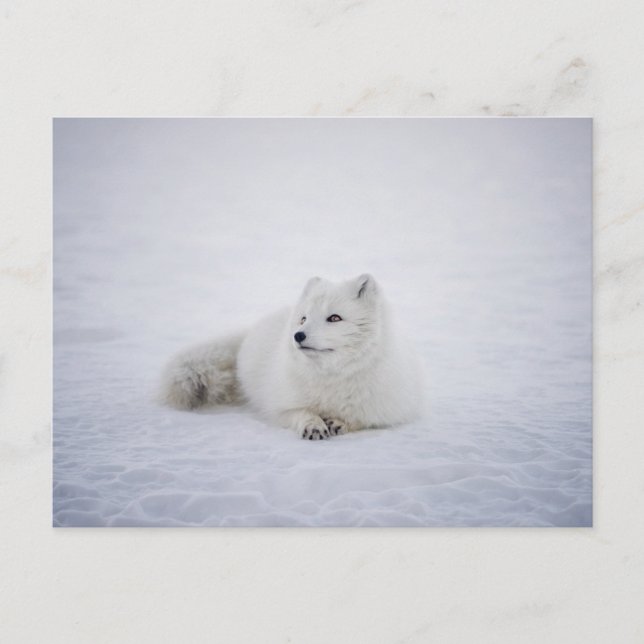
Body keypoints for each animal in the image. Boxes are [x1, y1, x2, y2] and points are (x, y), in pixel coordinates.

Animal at [160, 274, 422, 439]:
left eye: (334, 318)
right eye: (303, 318)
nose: (298, 335)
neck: (332, 376)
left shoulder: (390, 410)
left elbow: (362, 418)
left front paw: (340, 422)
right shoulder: (280, 405)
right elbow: (300, 412)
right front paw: (313, 425)